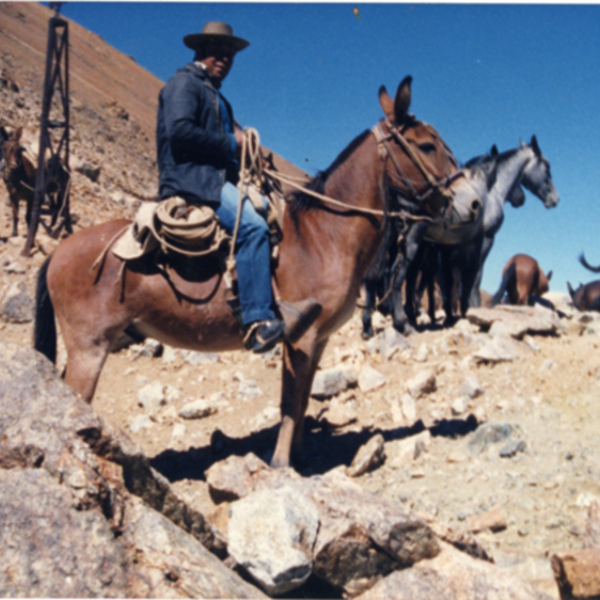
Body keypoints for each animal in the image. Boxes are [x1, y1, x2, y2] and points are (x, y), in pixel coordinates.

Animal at [35, 76, 462, 468]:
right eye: (426, 145)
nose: (469, 201)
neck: (322, 236)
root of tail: (57, 254)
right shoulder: (301, 337)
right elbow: (290, 403)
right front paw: (281, 466)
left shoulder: (319, 340)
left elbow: (303, 400)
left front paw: (300, 456)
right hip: (89, 348)